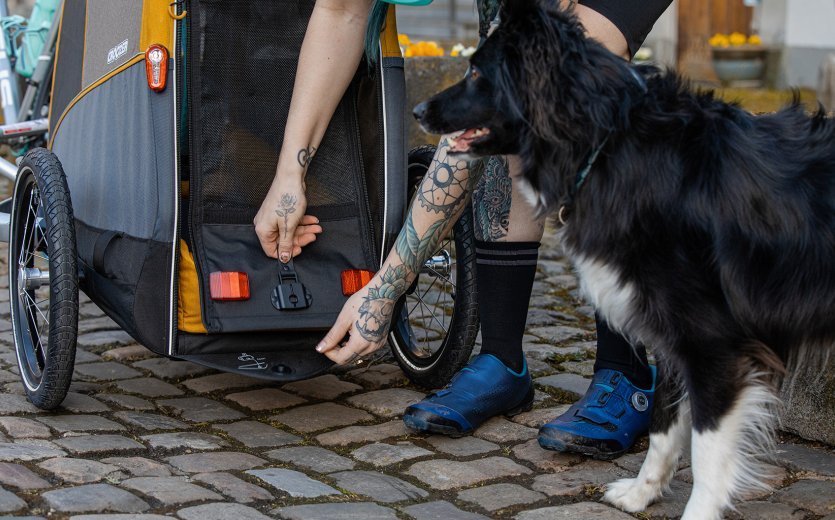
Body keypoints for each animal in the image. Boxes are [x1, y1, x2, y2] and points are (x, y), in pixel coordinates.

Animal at [414, 2, 835, 516]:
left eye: (477, 71)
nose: (417, 110)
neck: (608, 143)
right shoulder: (673, 338)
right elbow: (663, 426)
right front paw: (640, 494)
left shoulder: (714, 344)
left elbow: (708, 453)